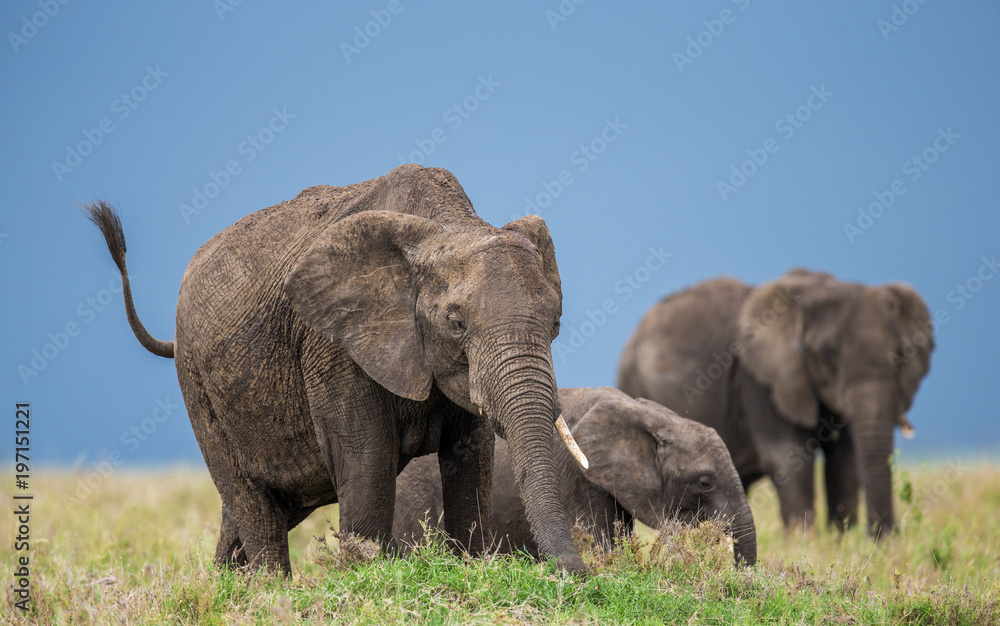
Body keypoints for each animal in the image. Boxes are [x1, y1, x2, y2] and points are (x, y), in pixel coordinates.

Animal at [84, 164, 589, 575]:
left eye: (556, 323)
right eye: (456, 323)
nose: (577, 575)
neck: (443, 226)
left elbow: (471, 457)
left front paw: (472, 567)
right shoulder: (331, 344)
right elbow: (368, 458)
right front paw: (367, 578)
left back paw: (229, 589)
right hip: (198, 385)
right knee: (253, 505)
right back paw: (270, 592)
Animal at [618, 269, 934, 537]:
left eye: (901, 354)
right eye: (827, 353)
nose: (884, 538)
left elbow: (844, 460)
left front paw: (842, 540)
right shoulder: (758, 382)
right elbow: (789, 457)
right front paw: (805, 542)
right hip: (633, 380)